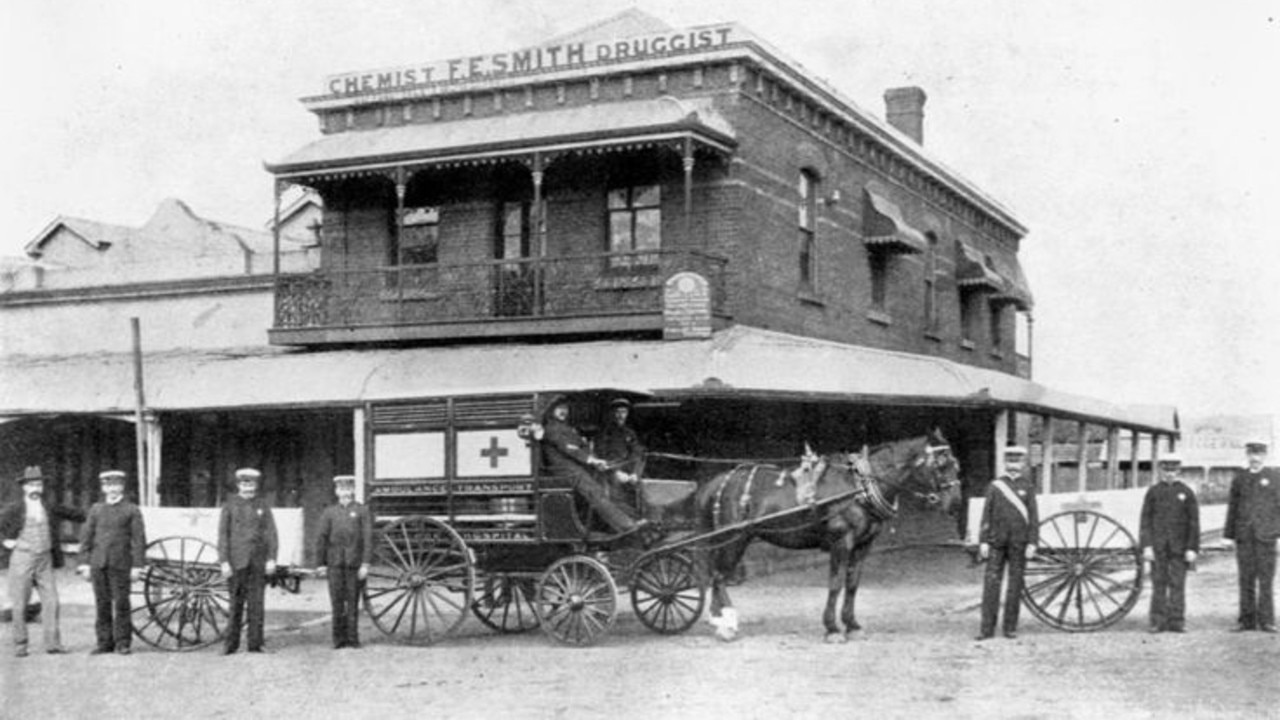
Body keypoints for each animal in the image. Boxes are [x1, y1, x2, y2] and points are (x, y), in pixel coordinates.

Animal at [701, 427, 962, 640]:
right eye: (941, 464)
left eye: (956, 464)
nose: (955, 503)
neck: (859, 488)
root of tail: (719, 482)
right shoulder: (841, 542)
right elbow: (836, 584)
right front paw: (832, 629)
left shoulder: (863, 544)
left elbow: (853, 583)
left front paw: (852, 626)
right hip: (734, 539)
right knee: (719, 576)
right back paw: (727, 626)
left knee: (715, 574)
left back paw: (717, 618)